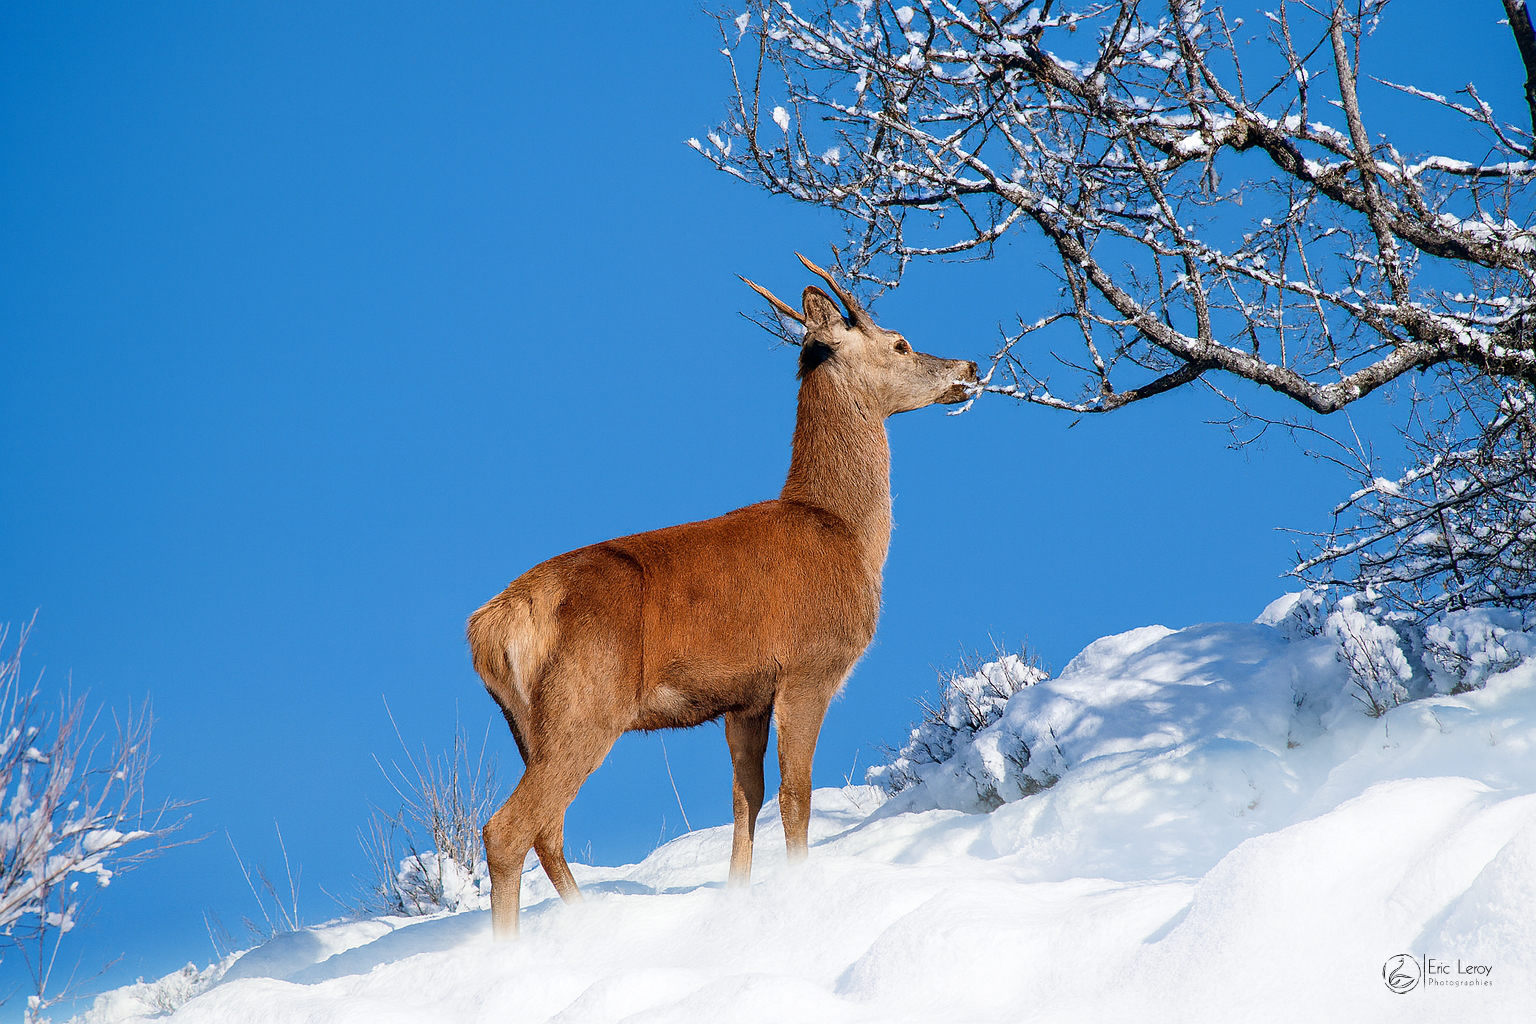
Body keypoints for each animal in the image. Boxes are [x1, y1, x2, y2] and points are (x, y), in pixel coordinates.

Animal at [467, 253, 978, 938]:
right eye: (900, 342)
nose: (969, 367)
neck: (843, 531)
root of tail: (489, 628)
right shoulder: (809, 668)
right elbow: (795, 796)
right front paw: (800, 891)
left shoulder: (744, 698)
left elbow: (746, 798)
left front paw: (738, 897)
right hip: (587, 703)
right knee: (508, 829)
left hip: (526, 722)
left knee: (547, 831)